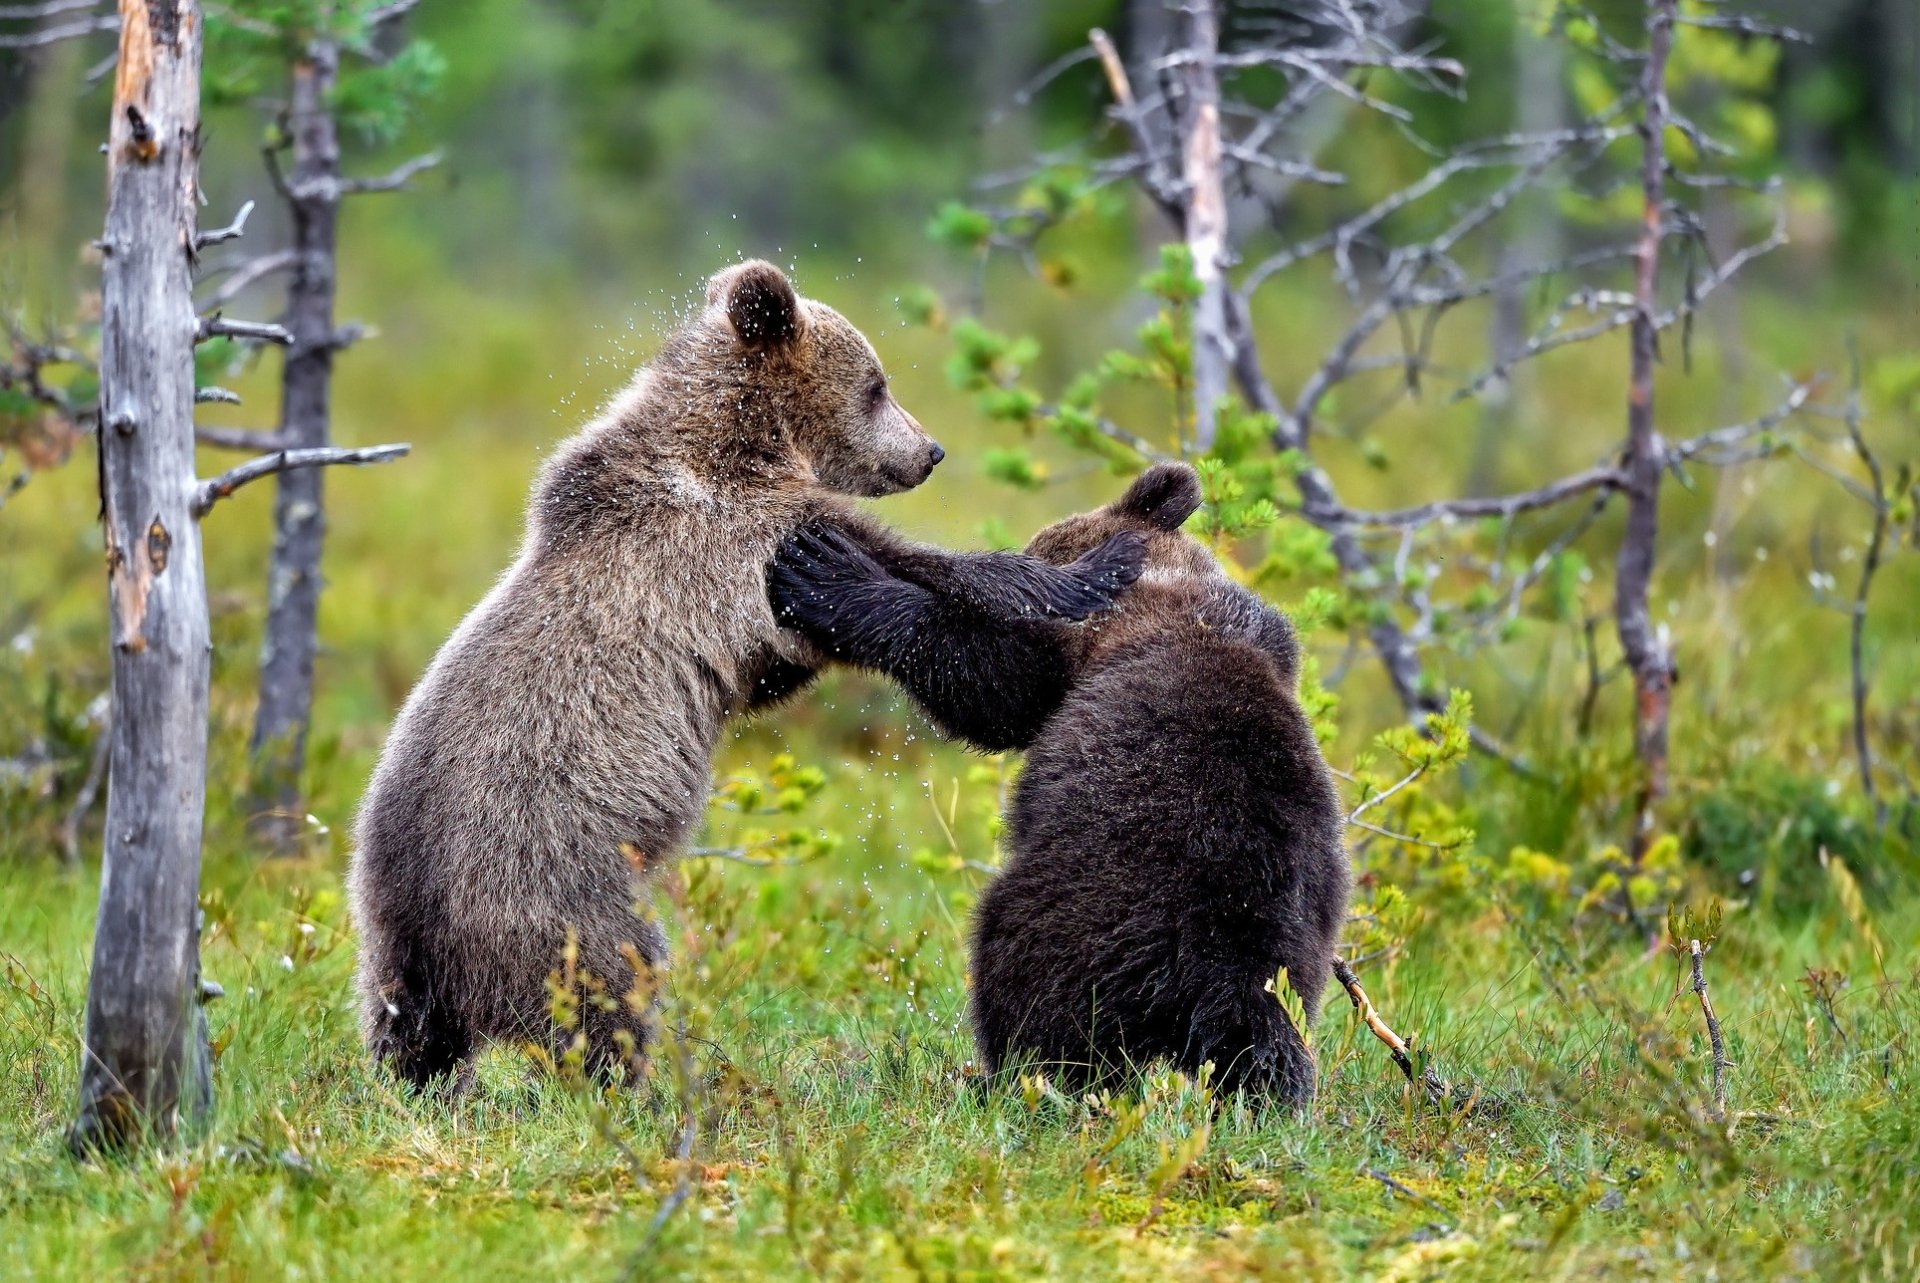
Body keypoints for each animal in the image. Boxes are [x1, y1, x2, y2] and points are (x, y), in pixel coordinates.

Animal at [353, 263, 1144, 1090]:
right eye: (877, 383)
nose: (931, 450)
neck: (742, 442)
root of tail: (431, 932)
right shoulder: (742, 539)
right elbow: (927, 563)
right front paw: (1089, 567)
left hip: (388, 943)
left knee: (407, 1030)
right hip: (553, 887)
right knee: (610, 985)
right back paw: (630, 1084)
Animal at [768, 460, 1351, 1106]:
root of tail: (1230, 961)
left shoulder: (1074, 650)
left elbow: (986, 679)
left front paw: (827, 571)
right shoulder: (1261, 631)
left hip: (1088, 916)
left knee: (1030, 990)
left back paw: (1008, 1078)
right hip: (1298, 957)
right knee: (1270, 1052)